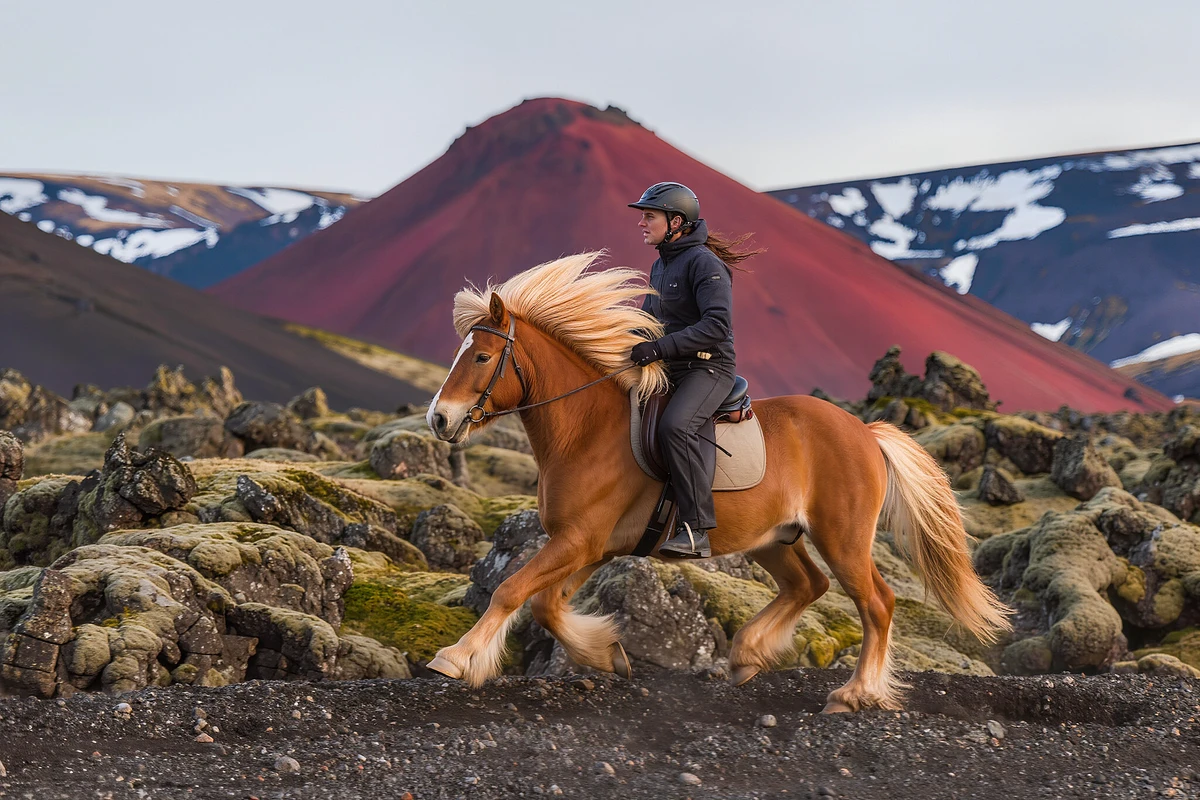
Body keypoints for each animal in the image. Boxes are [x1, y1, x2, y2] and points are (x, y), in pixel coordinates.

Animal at [424, 252, 1011, 712]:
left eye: (482, 356)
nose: (439, 420)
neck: (587, 429)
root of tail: (864, 431)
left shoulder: (578, 541)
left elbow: (510, 590)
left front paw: (456, 658)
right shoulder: (590, 546)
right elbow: (546, 604)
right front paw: (609, 654)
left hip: (842, 538)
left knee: (878, 603)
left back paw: (854, 693)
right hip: (775, 539)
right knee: (809, 586)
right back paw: (748, 655)